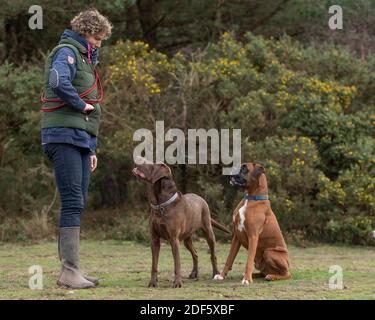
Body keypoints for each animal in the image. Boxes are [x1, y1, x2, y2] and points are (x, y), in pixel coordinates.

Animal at [132, 160, 232, 288]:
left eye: (151, 164)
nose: (136, 162)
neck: (161, 205)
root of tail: (201, 198)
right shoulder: (154, 240)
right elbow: (154, 264)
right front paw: (153, 282)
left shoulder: (174, 240)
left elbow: (177, 264)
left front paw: (177, 283)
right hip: (187, 239)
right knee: (195, 254)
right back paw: (194, 273)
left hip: (208, 231)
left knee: (212, 254)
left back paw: (216, 273)